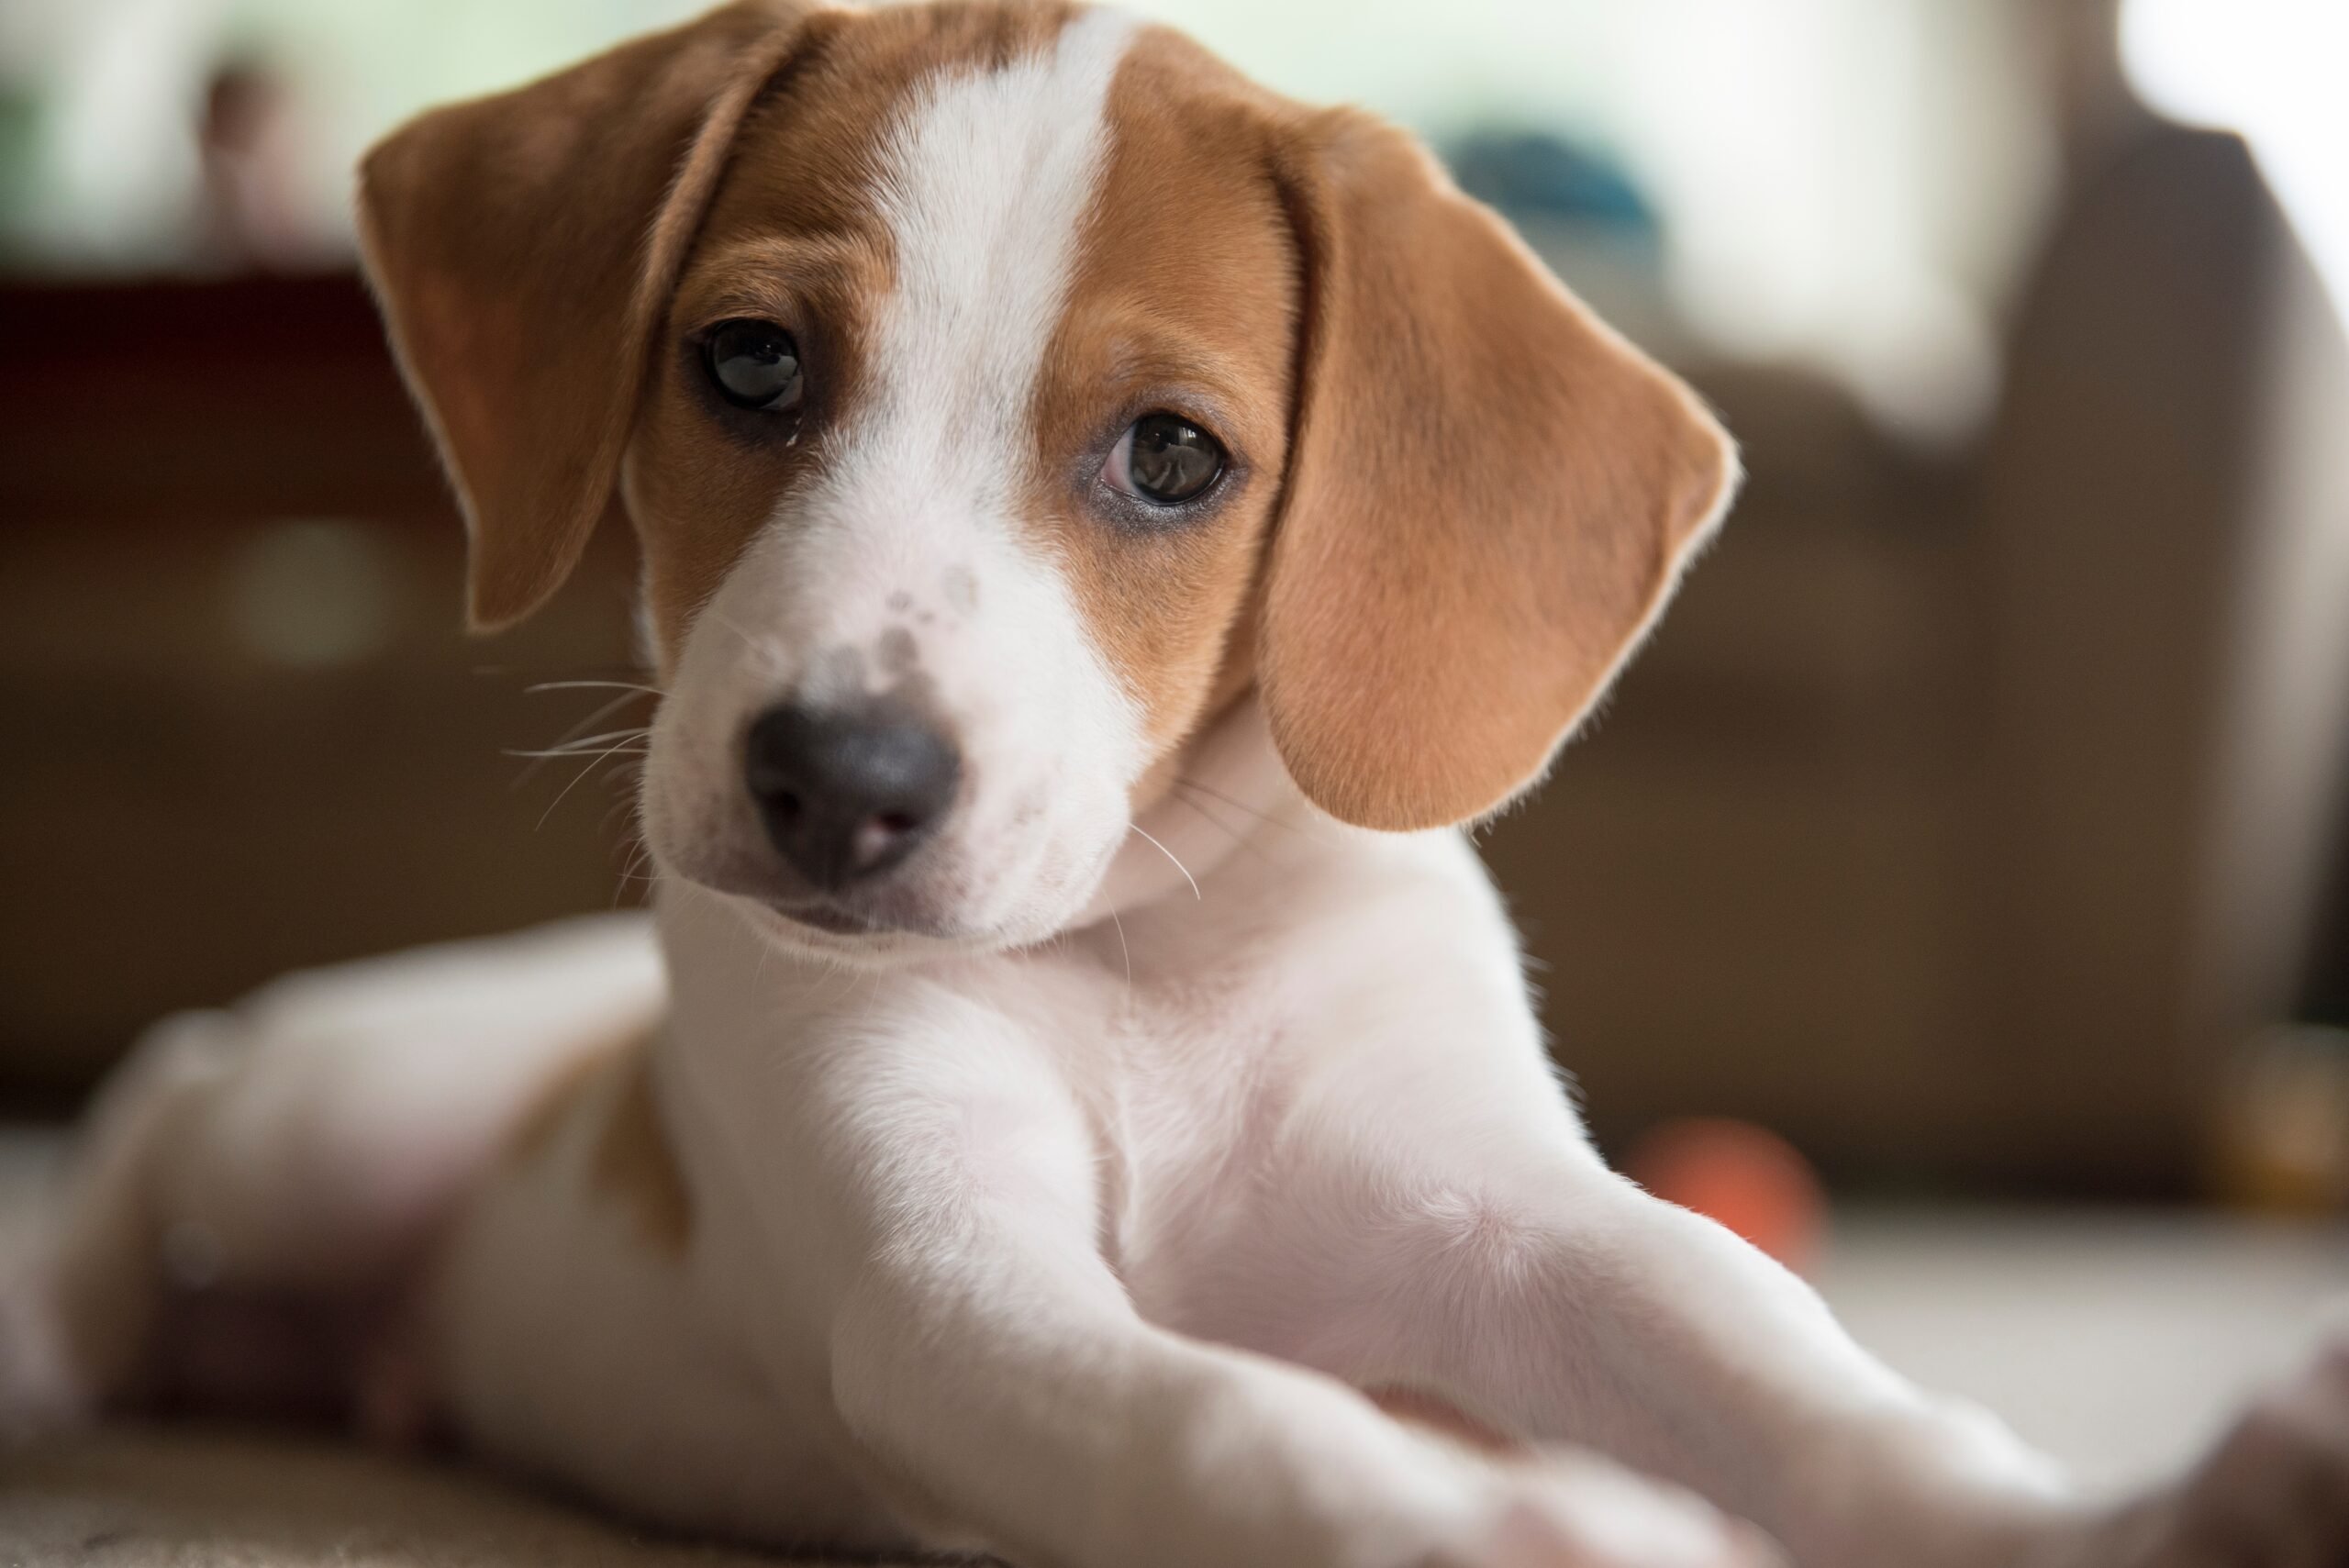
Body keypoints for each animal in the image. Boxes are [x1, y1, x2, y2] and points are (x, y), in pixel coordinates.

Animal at [5, 3, 2349, 1568]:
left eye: (1169, 456)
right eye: (746, 361)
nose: (835, 780)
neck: (1136, 951)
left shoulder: (1505, 1223)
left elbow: (1769, 1347)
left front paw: (2121, 1511)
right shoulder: (948, 1284)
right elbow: (1243, 1425)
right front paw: (1511, 1528)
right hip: (336, 1113)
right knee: (168, 1112)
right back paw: (48, 1340)